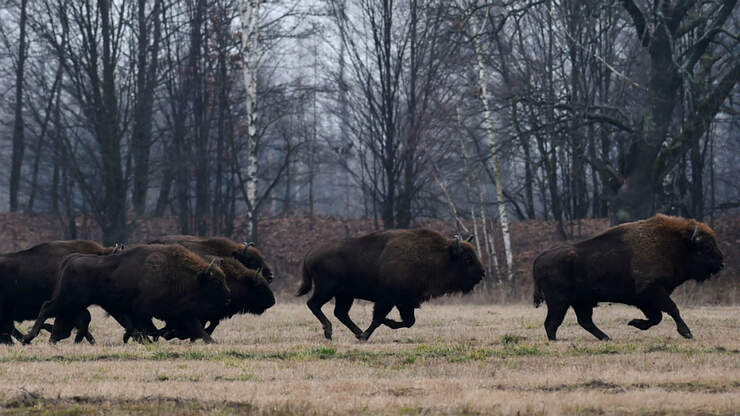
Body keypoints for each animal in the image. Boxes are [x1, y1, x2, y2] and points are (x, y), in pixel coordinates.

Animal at [22, 244, 228, 344]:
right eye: (215, 283)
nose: (228, 297)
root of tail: (69, 259)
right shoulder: (142, 311)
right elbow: (145, 328)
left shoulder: (182, 313)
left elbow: (198, 329)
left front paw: (212, 342)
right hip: (67, 299)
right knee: (47, 308)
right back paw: (28, 338)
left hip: (74, 304)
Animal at [294, 231, 486, 342]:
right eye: (467, 259)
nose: (482, 273)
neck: (437, 256)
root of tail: (310, 253)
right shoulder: (388, 300)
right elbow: (378, 318)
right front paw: (366, 335)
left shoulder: (406, 302)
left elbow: (409, 322)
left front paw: (376, 328)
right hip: (327, 290)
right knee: (314, 304)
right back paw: (330, 332)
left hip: (345, 295)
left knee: (340, 313)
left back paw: (355, 332)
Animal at [536, 214, 724, 342]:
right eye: (706, 247)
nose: (721, 263)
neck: (674, 245)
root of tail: (540, 258)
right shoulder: (652, 291)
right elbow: (672, 309)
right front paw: (687, 333)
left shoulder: (645, 300)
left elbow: (657, 317)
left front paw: (634, 323)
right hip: (559, 302)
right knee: (552, 322)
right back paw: (557, 341)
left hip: (580, 302)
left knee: (583, 321)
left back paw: (607, 338)